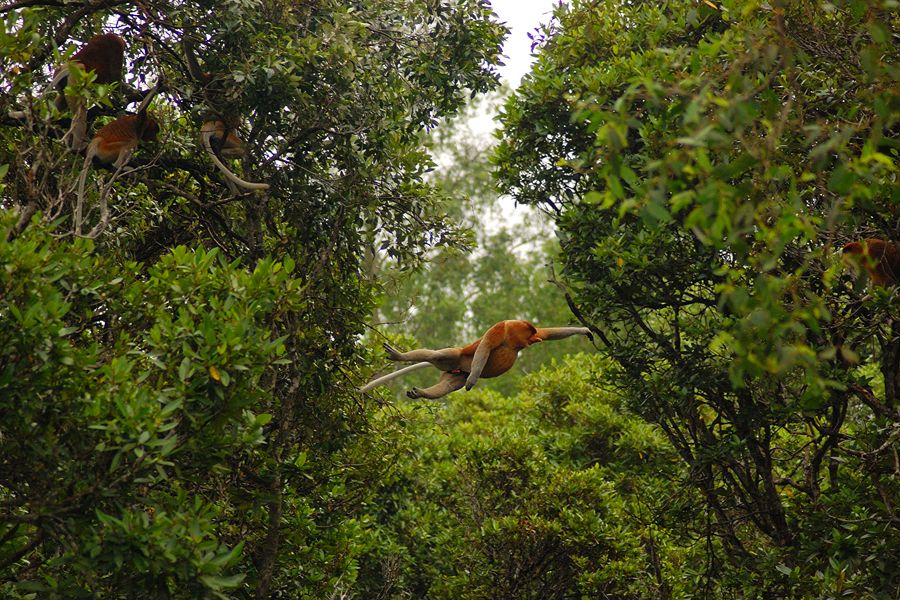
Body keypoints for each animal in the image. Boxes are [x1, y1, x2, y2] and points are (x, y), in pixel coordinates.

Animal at [360, 320, 593, 400]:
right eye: (529, 332)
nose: (534, 338)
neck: (512, 341)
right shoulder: (499, 330)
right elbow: (485, 346)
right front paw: (473, 381)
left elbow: (551, 332)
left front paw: (585, 330)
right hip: (457, 357)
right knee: (437, 356)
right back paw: (400, 356)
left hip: (455, 374)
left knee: (448, 386)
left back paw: (421, 393)